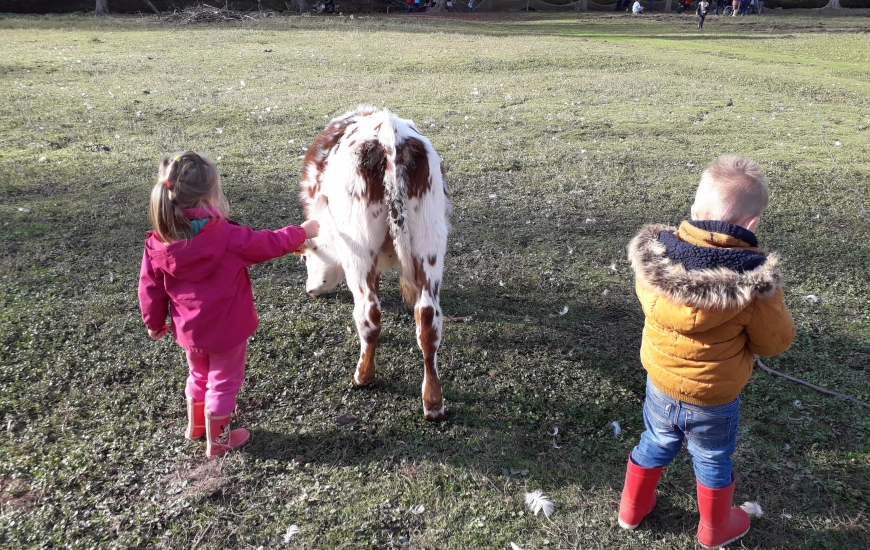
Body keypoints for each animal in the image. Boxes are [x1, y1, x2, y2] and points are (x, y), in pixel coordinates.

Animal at [298, 106, 450, 422]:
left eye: (306, 256)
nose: (309, 290)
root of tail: (388, 138)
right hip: (430, 243)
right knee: (428, 320)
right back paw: (433, 404)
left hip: (359, 249)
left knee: (369, 314)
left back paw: (363, 376)